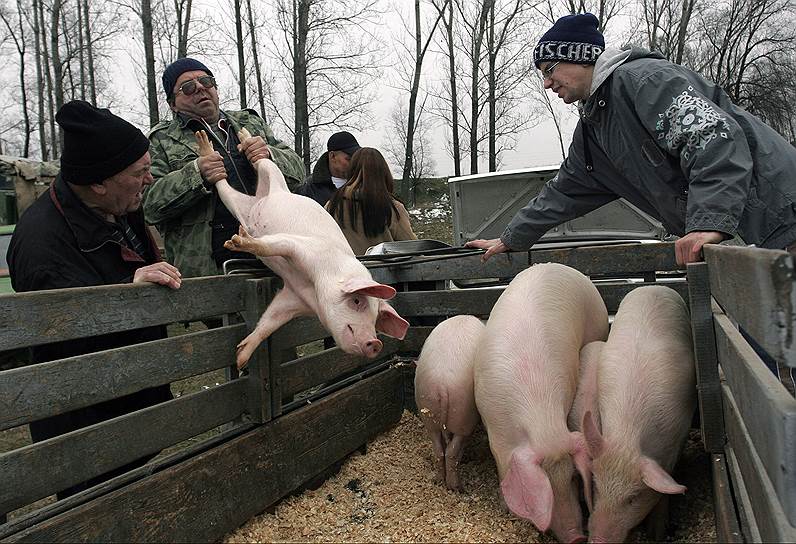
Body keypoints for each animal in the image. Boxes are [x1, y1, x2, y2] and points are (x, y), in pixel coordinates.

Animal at [215, 158, 408, 370]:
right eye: (357, 301)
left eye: (376, 317)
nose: (376, 343)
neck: (312, 287)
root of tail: (270, 194)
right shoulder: (302, 247)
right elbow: (273, 245)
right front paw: (236, 241)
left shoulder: (292, 297)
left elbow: (269, 322)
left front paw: (241, 360)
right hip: (268, 175)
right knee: (259, 164)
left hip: (239, 205)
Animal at [416, 312, 486, 490]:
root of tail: (442, 384)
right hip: (464, 414)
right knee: (452, 452)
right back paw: (457, 487)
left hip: (427, 410)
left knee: (439, 450)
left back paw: (439, 480)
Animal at [580, 286, 696, 540]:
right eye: (596, 485)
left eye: (633, 498)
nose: (598, 540)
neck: (628, 434)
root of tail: (653, 286)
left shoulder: (678, 434)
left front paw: (657, 533)